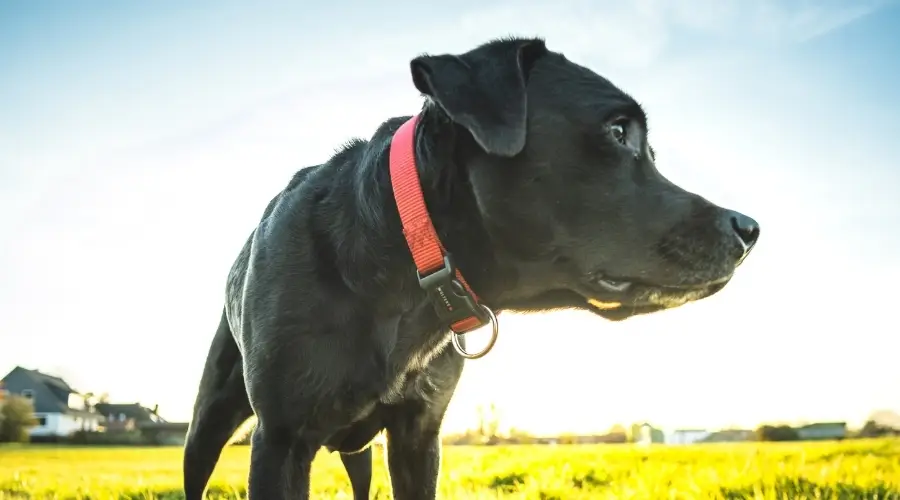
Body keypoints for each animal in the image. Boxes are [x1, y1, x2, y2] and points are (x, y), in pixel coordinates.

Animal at [183, 36, 760, 500]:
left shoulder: (419, 438)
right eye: (619, 132)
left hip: (358, 449)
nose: (750, 229)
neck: (404, 252)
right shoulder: (281, 440)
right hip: (208, 423)